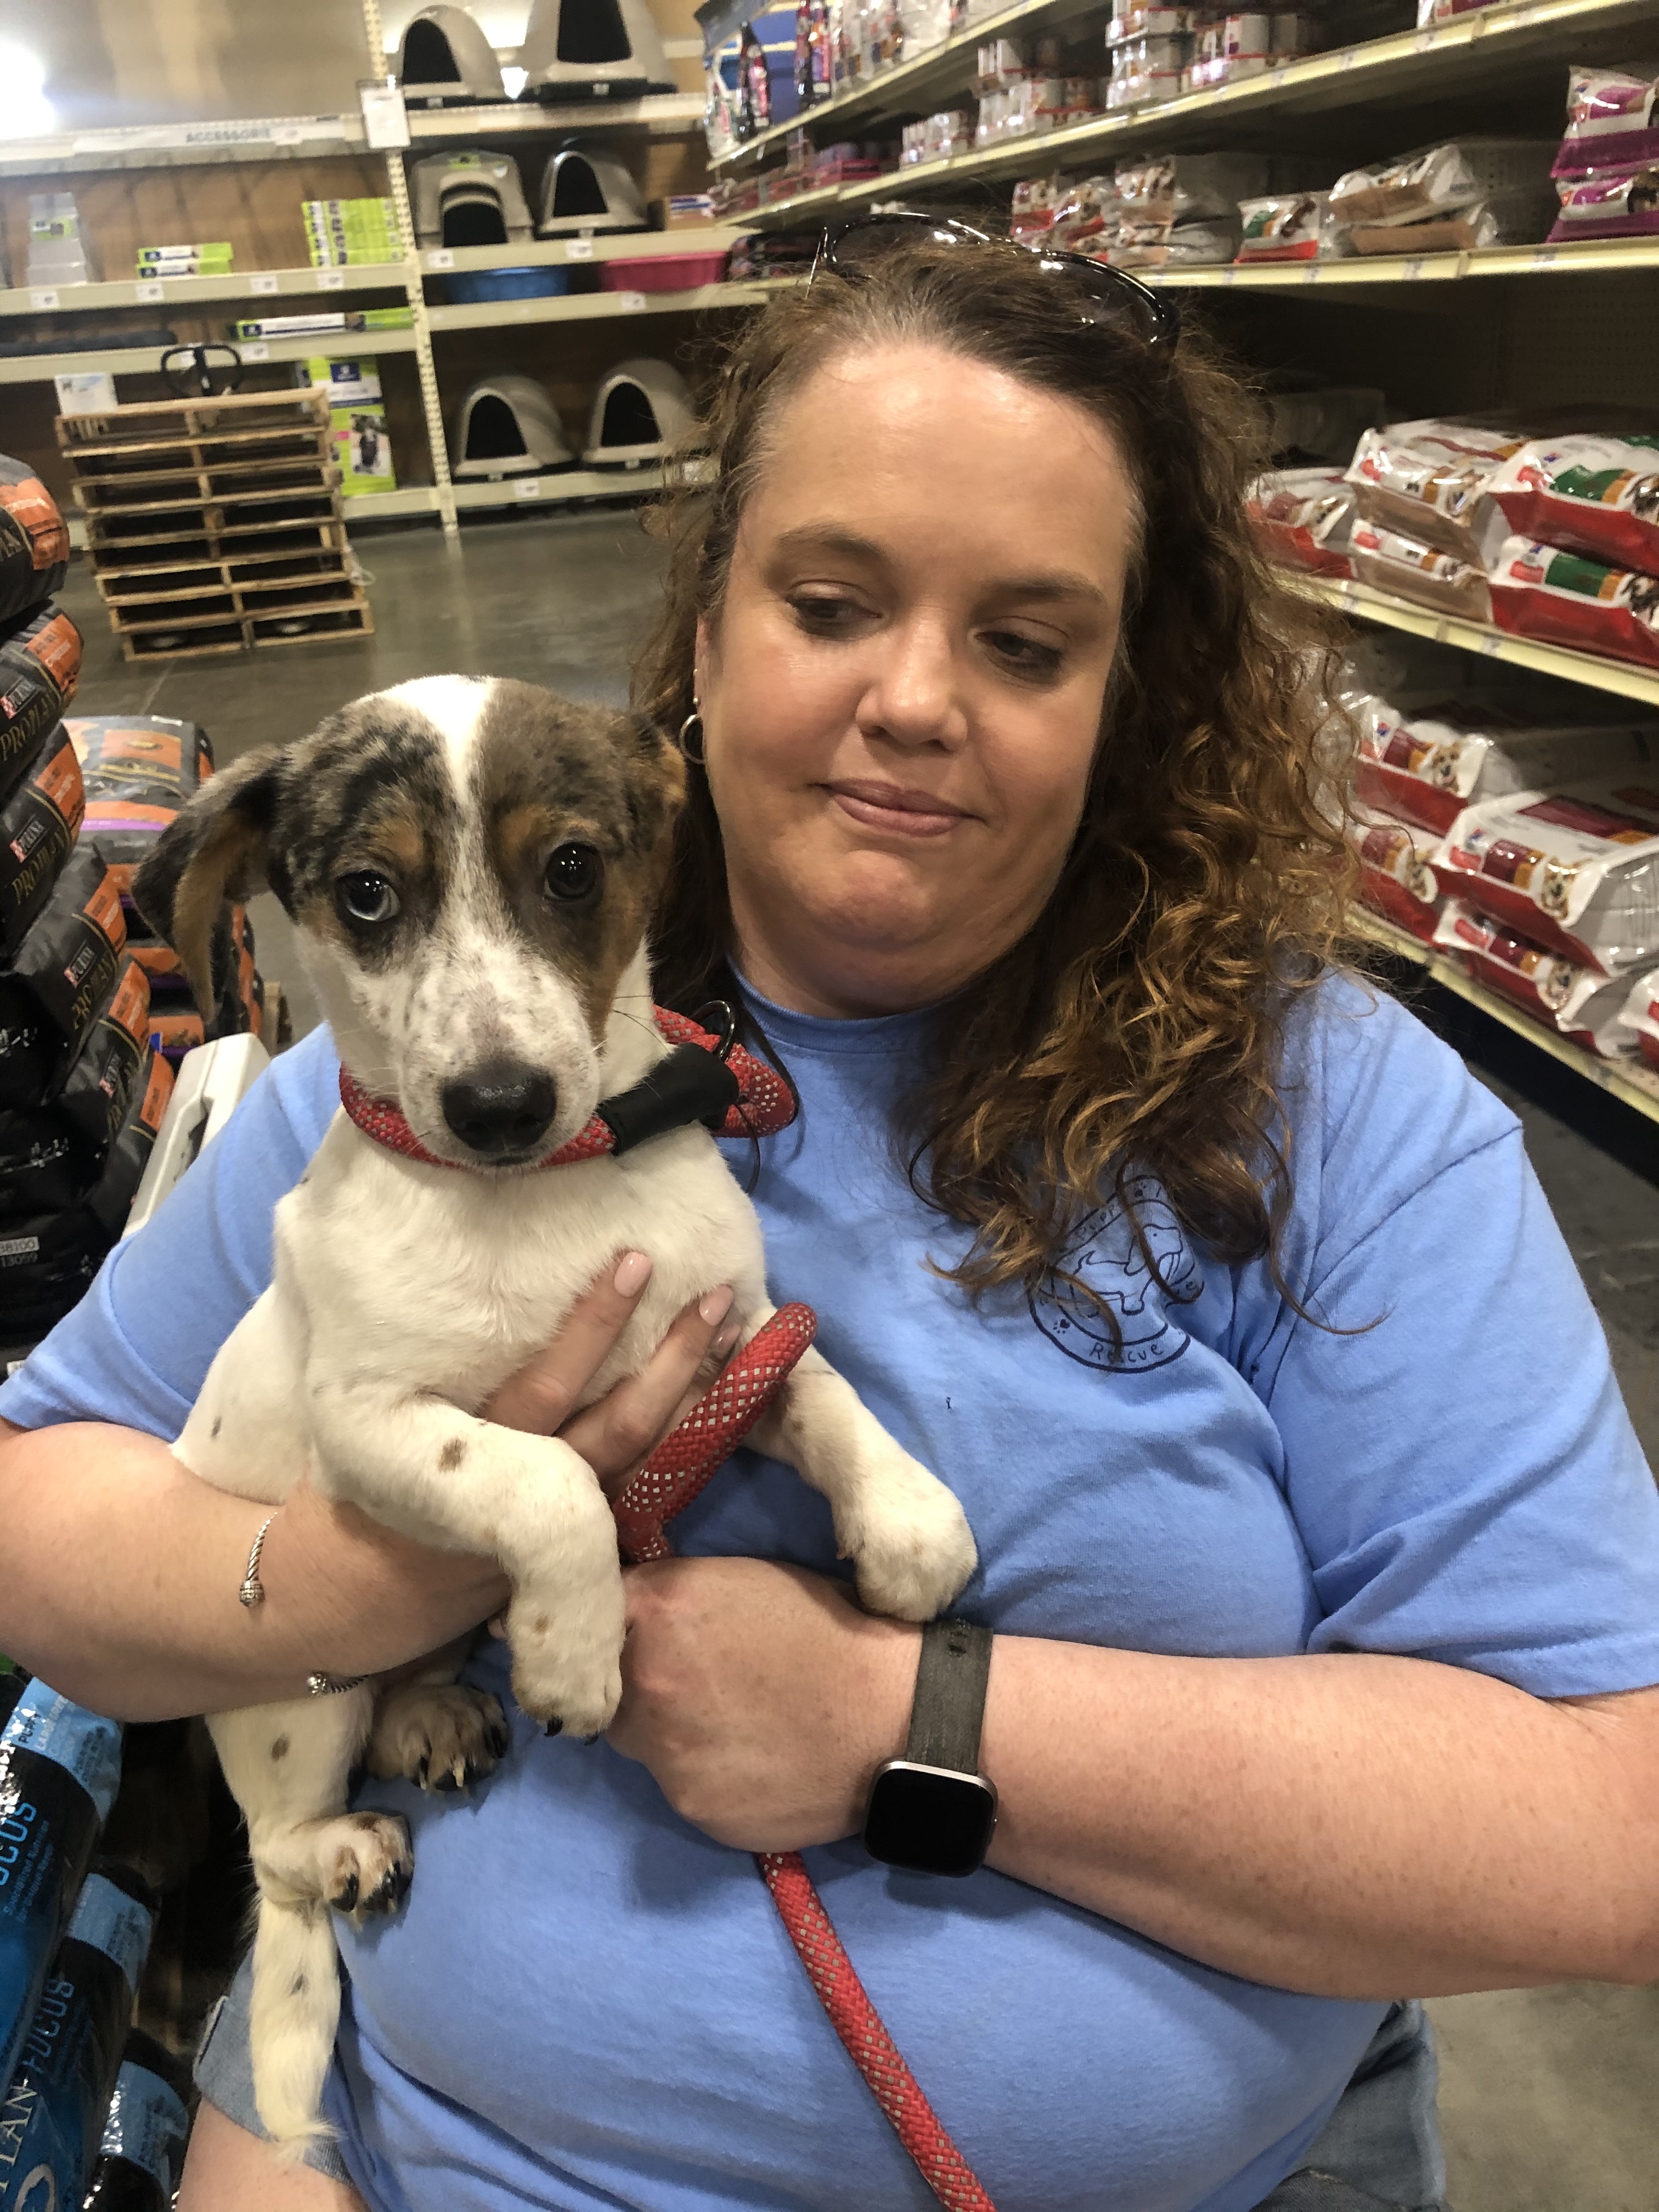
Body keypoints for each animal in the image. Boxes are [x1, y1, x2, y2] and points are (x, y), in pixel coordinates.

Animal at [136, 676, 982, 2159]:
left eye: (575, 868)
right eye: (367, 894)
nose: (499, 1106)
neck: (550, 1198)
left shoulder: (721, 1345)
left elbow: (821, 1386)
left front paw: (909, 1521)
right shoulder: (376, 1422)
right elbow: (550, 1480)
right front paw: (577, 1651)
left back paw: (432, 1713)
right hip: (288, 1708)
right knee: (275, 1861)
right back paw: (342, 1845)